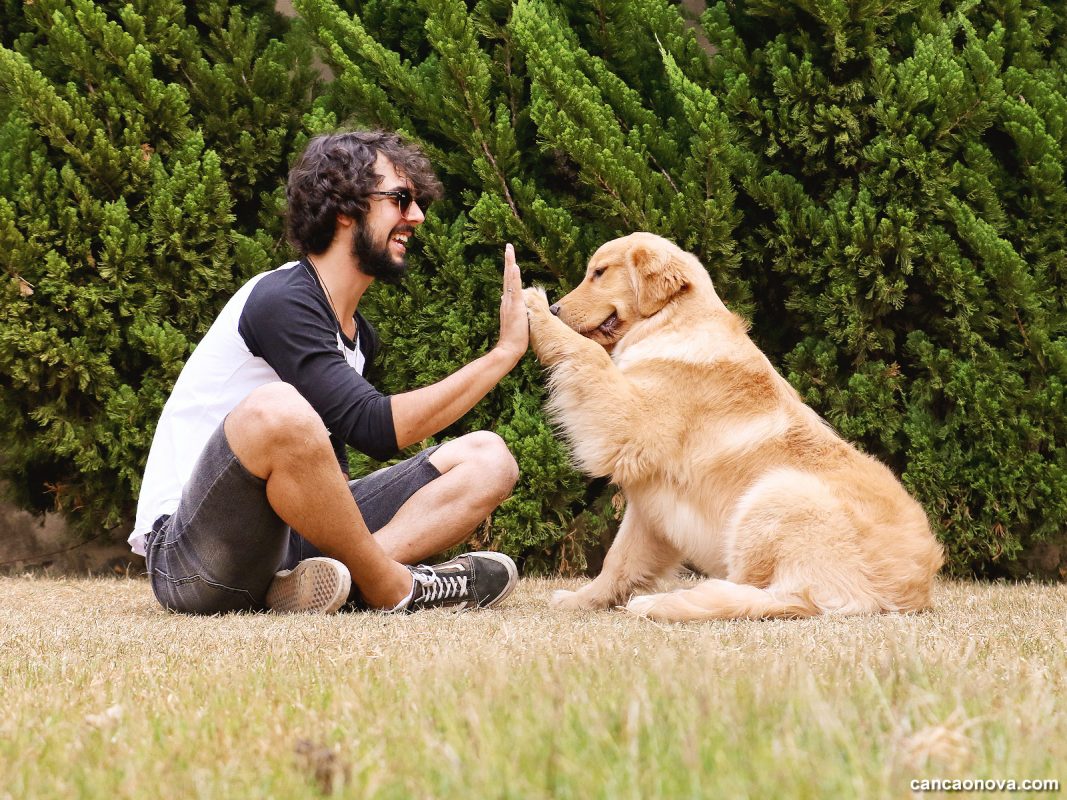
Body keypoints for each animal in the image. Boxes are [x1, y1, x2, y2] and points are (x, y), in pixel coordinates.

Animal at [524, 234, 943, 622]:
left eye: (599, 272)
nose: (557, 308)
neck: (671, 321)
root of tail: (909, 593)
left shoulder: (628, 421)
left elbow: (588, 355)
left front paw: (533, 307)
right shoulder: (652, 506)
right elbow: (619, 560)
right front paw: (583, 599)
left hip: (775, 495)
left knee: (776, 597)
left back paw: (661, 603)